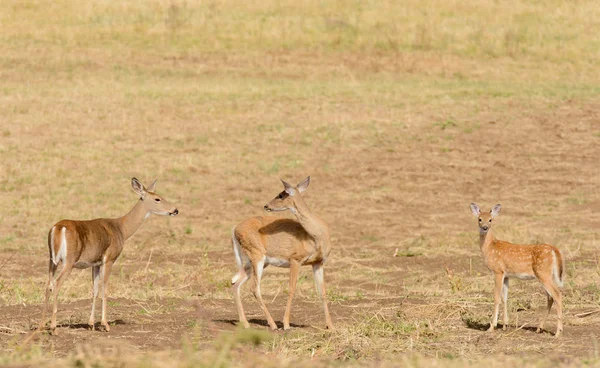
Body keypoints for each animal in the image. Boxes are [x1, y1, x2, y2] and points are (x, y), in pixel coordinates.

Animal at [38, 177, 176, 334]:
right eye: (157, 199)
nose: (175, 210)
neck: (121, 229)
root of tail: (58, 228)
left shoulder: (95, 263)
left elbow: (95, 290)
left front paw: (91, 324)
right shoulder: (109, 259)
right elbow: (105, 289)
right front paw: (105, 324)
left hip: (52, 260)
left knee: (48, 284)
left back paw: (41, 325)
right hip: (69, 260)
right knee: (56, 283)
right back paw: (53, 327)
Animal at [231, 176, 336, 330]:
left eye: (281, 194)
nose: (266, 205)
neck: (315, 236)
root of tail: (235, 230)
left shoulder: (318, 263)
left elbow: (322, 291)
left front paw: (331, 326)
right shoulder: (295, 260)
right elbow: (291, 289)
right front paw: (286, 324)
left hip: (257, 262)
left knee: (236, 283)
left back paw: (245, 323)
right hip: (257, 256)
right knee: (254, 287)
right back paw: (273, 324)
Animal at [472, 203, 564, 338]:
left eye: (490, 220)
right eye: (479, 219)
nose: (484, 227)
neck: (490, 247)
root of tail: (554, 249)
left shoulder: (498, 271)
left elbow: (496, 297)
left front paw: (491, 327)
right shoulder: (506, 275)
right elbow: (505, 297)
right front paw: (505, 325)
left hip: (543, 273)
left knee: (557, 294)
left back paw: (558, 332)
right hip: (546, 275)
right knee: (550, 297)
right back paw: (540, 328)